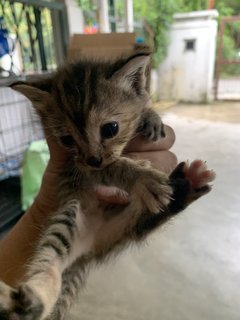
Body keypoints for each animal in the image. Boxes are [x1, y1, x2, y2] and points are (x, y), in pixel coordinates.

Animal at [0, 53, 215, 320]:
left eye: (111, 128)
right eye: (66, 140)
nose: (93, 159)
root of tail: (87, 251)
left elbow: (140, 107)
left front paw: (150, 116)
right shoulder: (79, 168)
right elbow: (115, 167)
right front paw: (142, 177)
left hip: (122, 228)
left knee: (146, 220)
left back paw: (188, 183)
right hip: (68, 220)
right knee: (50, 265)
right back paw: (30, 302)